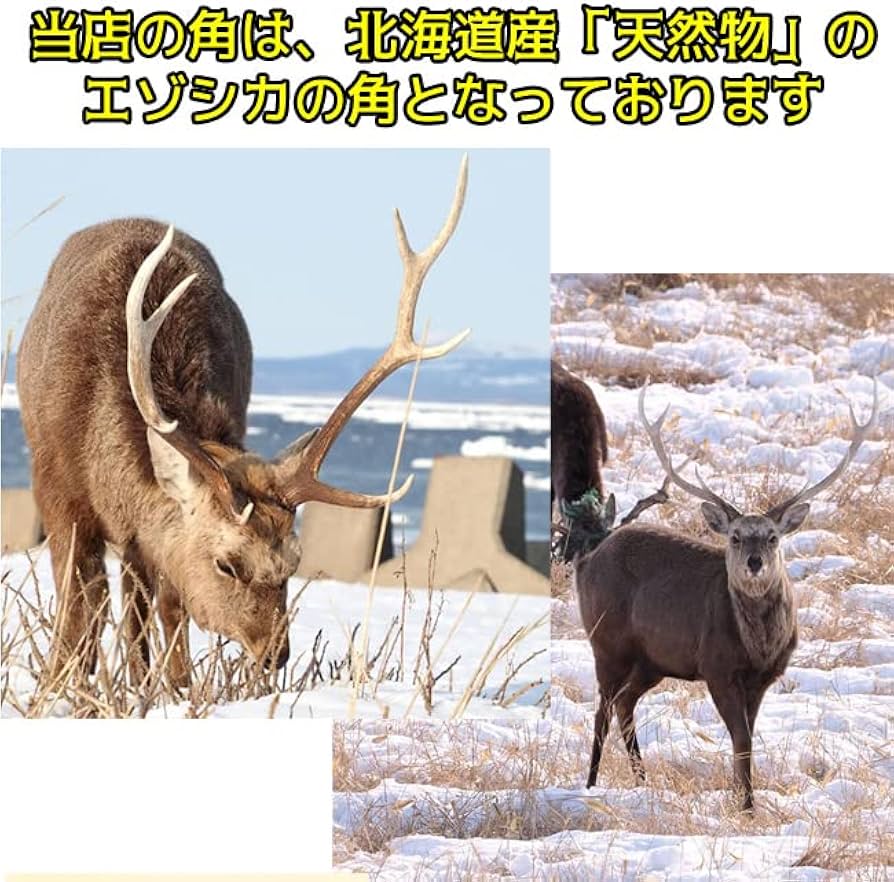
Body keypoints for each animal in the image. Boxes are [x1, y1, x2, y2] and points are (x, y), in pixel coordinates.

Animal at [17, 158, 470, 690]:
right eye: (226, 564)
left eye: (294, 561)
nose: (276, 654)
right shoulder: (57, 491)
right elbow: (78, 607)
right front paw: (62, 685)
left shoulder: (152, 538)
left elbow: (165, 607)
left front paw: (174, 689)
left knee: (145, 605)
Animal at [575, 380, 879, 810]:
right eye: (735, 536)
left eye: (772, 537)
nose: (753, 562)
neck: (758, 647)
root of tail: (585, 562)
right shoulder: (717, 667)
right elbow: (742, 738)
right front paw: (747, 804)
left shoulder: (765, 677)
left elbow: (745, 739)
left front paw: (742, 798)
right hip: (606, 640)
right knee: (602, 709)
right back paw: (590, 784)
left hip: (652, 660)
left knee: (624, 703)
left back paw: (642, 781)